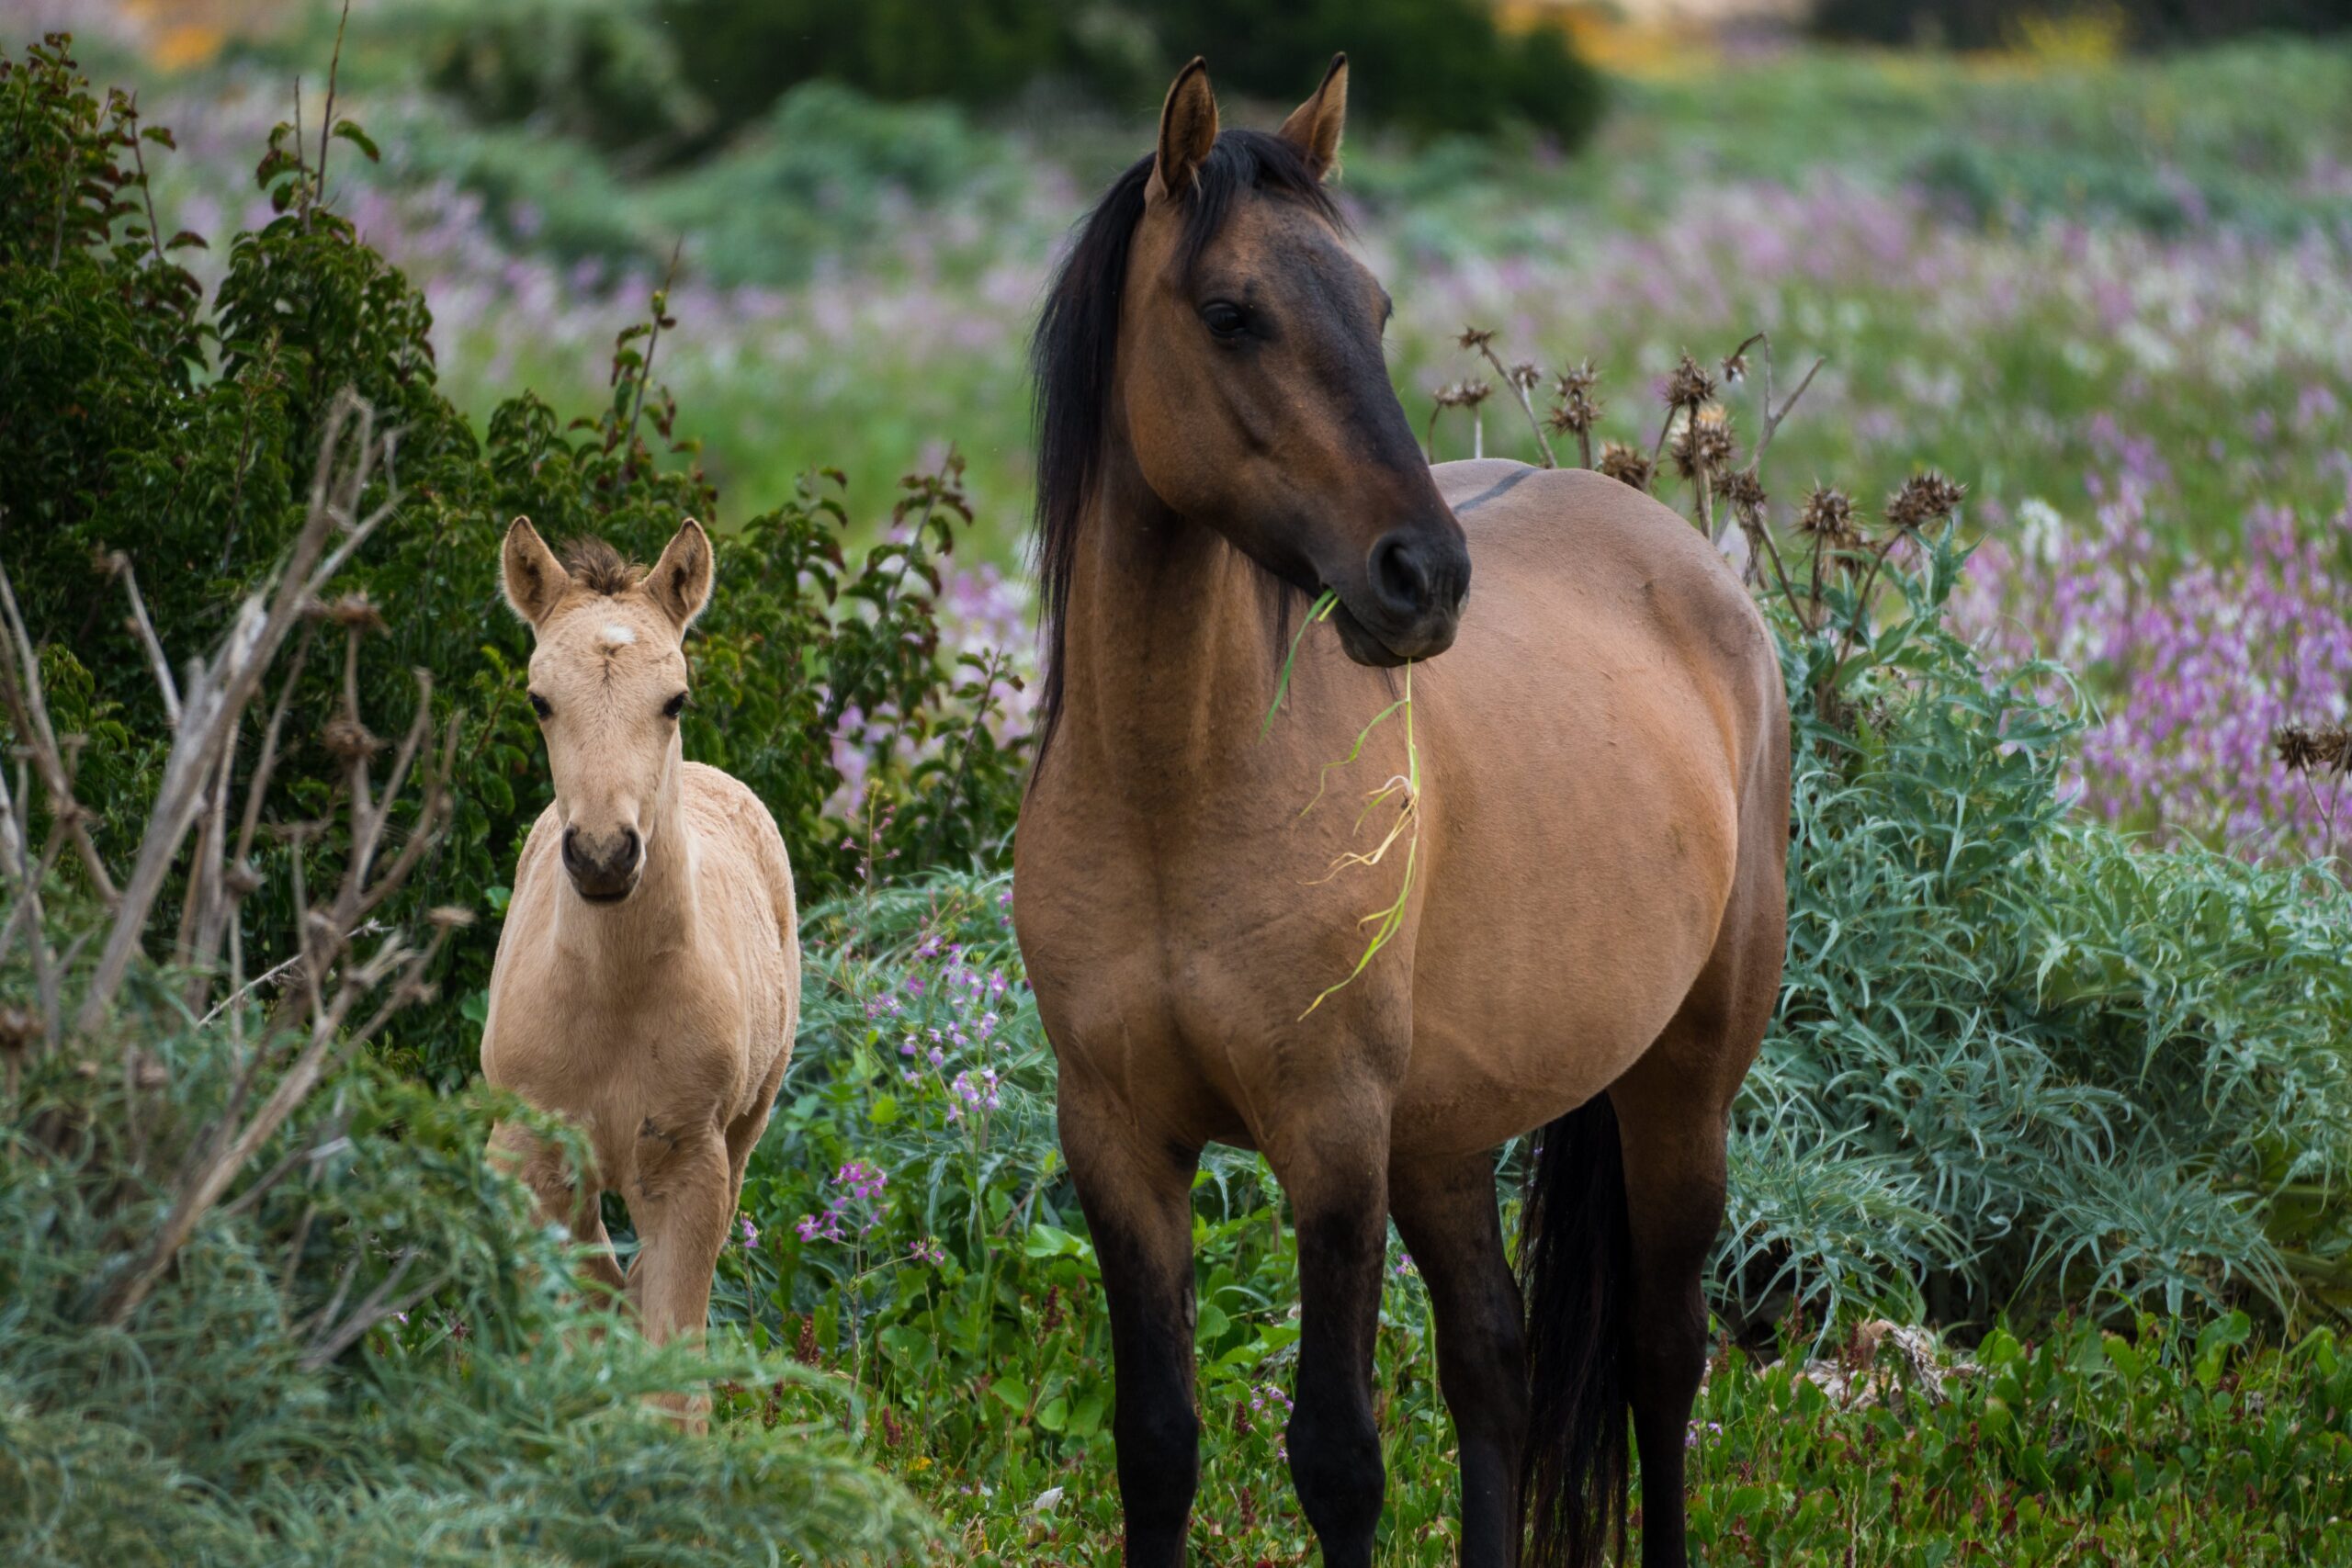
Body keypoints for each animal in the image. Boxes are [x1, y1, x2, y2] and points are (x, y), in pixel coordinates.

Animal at [484, 517, 799, 1372]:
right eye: (539, 700)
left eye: (675, 699)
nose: (603, 855)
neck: (614, 999)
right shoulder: (534, 1156)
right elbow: (580, 1316)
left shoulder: (691, 1169)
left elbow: (671, 1356)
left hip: (748, 1126)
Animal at [1006, 55, 1778, 1561]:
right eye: (1232, 313)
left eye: (1372, 309)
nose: (1424, 576)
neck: (1175, 797)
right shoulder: (1118, 1142)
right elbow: (1156, 1444)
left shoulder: (1332, 1143)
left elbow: (1337, 1457)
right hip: (1448, 1133)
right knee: (1496, 1363)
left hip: (1679, 1087)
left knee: (1661, 1358)